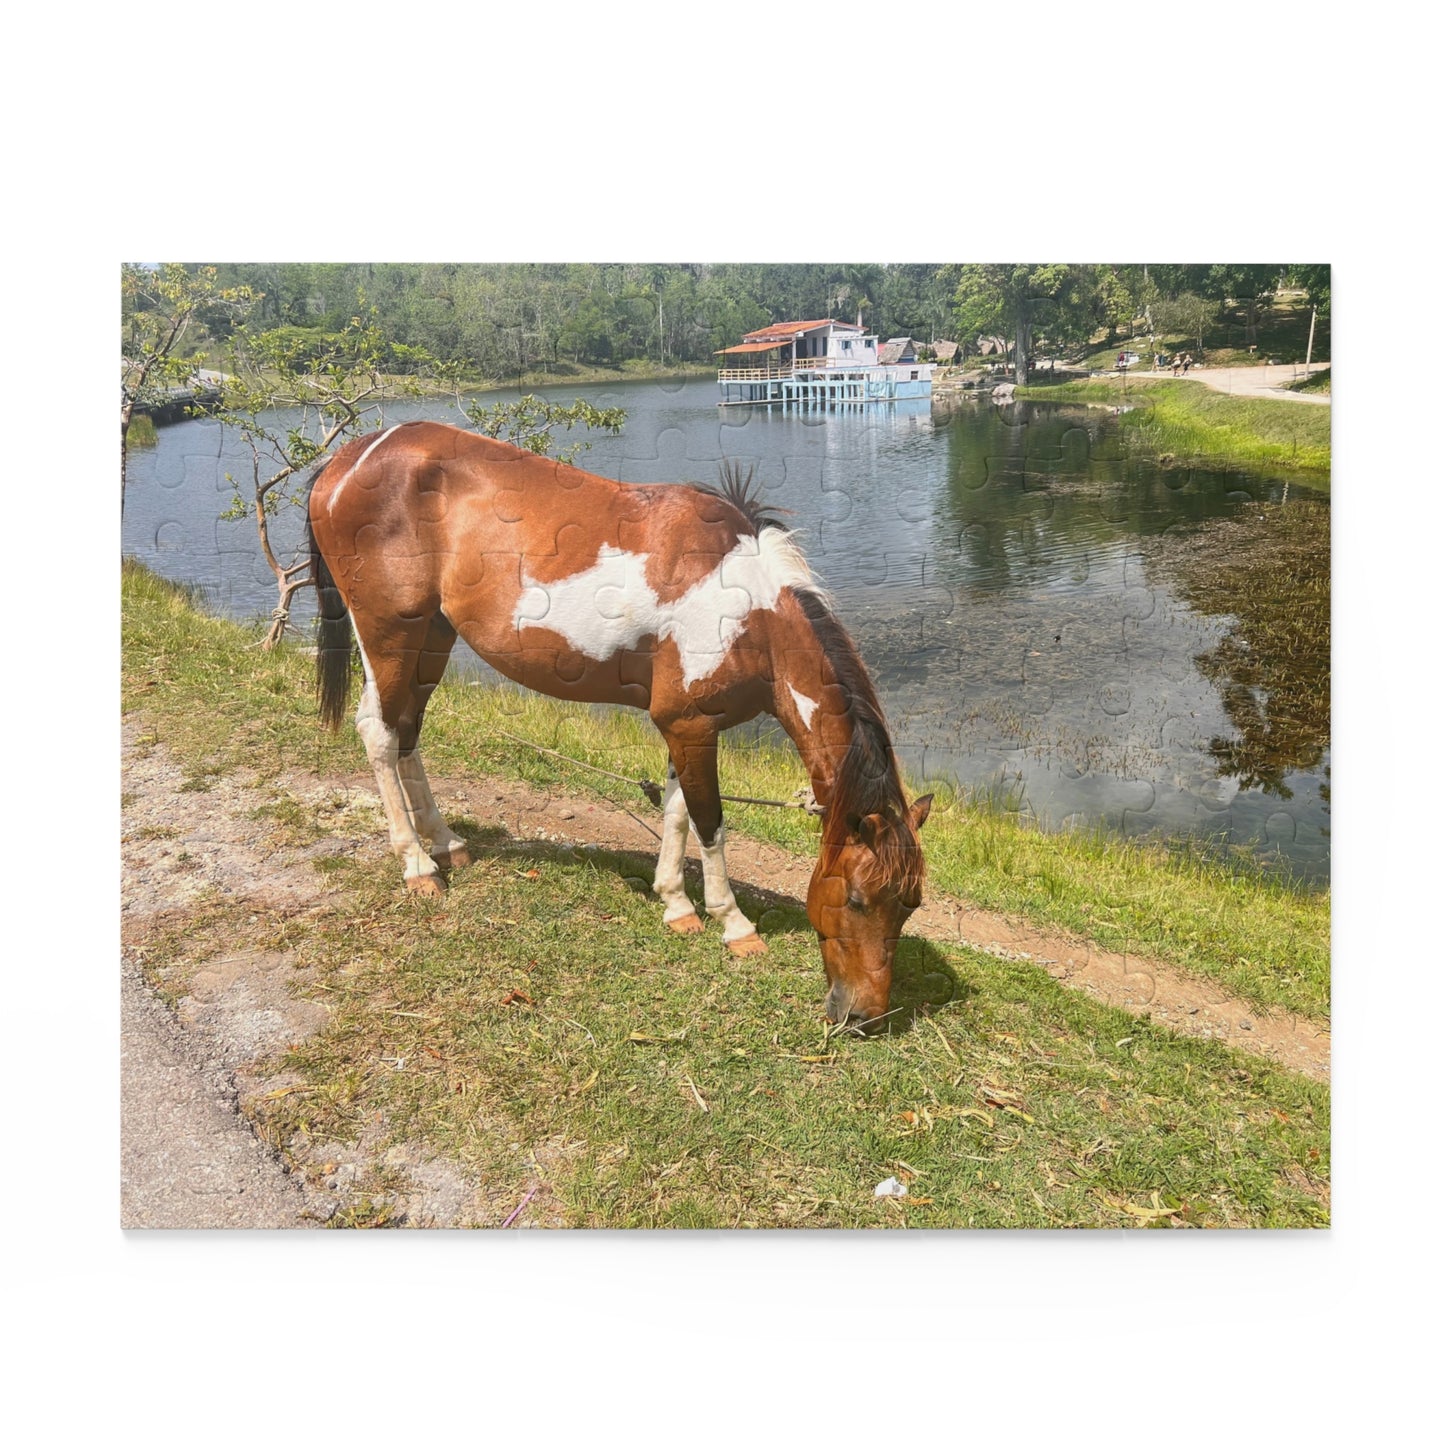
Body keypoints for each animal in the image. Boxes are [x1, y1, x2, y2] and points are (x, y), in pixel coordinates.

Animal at [303, 420, 932, 1031]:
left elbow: (677, 810)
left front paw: (676, 904)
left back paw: (446, 843)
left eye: (911, 903)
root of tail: (349, 460)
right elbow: (710, 822)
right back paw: (416, 866)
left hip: (433, 637)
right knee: (381, 733)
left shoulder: (685, 725)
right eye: (857, 898)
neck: (747, 609)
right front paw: (734, 925)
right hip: (390, 635)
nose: (865, 1017)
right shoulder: (693, 727)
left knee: (408, 732)